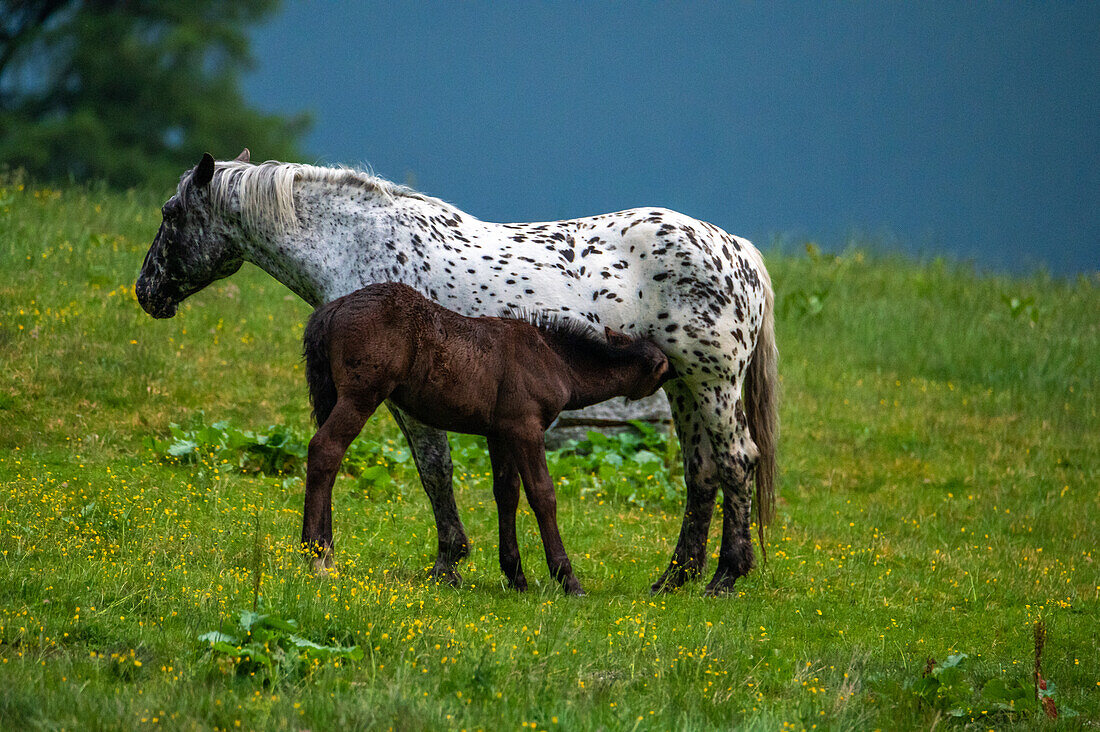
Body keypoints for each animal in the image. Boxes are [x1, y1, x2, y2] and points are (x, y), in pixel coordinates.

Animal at [137, 153, 778, 594]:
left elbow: (434, 471)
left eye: (170, 213)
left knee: (736, 462)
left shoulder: (402, 400)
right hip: (683, 387)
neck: (359, 244)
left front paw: (448, 563)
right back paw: (674, 579)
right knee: (701, 473)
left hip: (714, 386)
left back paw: (726, 577)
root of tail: (738, 249)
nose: (146, 291)